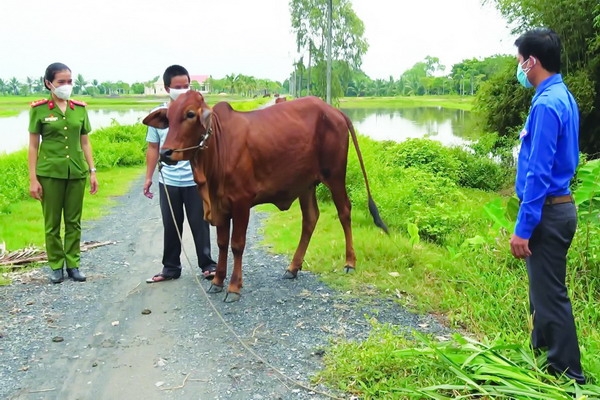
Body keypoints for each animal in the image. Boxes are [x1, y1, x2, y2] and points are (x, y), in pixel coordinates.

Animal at [145, 92, 390, 302]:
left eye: (189, 114)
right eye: (168, 118)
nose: (165, 153)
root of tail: (335, 111)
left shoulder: (241, 202)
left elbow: (237, 244)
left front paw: (234, 287)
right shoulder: (220, 205)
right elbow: (222, 244)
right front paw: (217, 281)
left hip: (335, 175)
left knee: (344, 212)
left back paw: (350, 262)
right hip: (306, 184)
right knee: (310, 218)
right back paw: (293, 267)